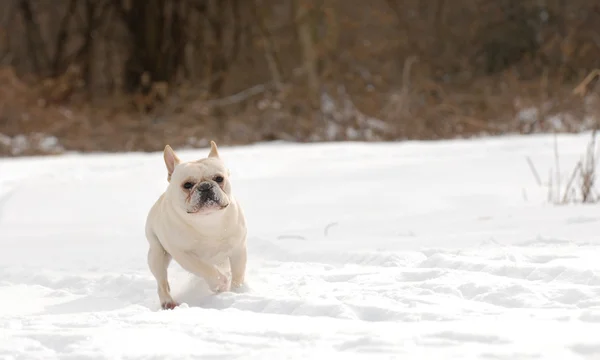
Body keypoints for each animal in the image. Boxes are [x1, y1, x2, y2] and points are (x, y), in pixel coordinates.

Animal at [144, 141, 247, 310]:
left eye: (219, 178)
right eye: (187, 185)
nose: (205, 186)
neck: (207, 221)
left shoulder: (238, 249)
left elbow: (238, 272)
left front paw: (237, 292)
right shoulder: (183, 254)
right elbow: (204, 268)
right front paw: (220, 283)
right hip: (157, 255)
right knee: (162, 282)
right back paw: (168, 302)